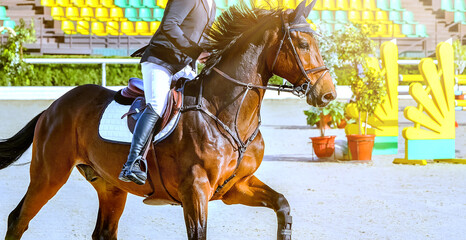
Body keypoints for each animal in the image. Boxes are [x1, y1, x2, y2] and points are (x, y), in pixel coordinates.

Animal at [0, 0, 334, 239]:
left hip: (110, 186)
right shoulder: (195, 191)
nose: (328, 94)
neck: (228, 113)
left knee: (103, 232)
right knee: (18, 219)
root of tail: (53, 107)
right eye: (303, 45)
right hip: (49, 174)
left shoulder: (236, 187)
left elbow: (283, 206)